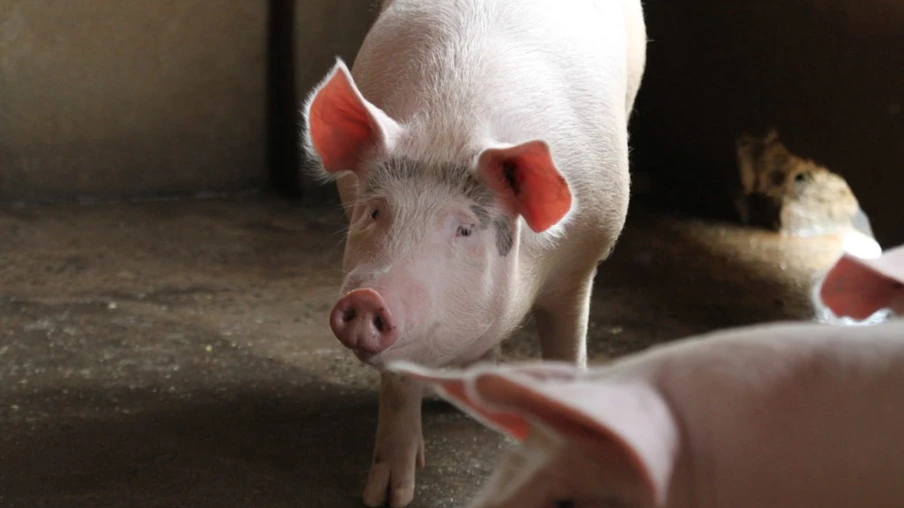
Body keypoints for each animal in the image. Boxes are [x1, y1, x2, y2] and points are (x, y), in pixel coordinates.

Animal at [300, 0, 648, 504]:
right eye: (375, 211)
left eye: (465, 229)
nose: (367, 299)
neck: (449, 129)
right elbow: (399, 383)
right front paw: (387, 497)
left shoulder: (582, 260)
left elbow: (568, 352)